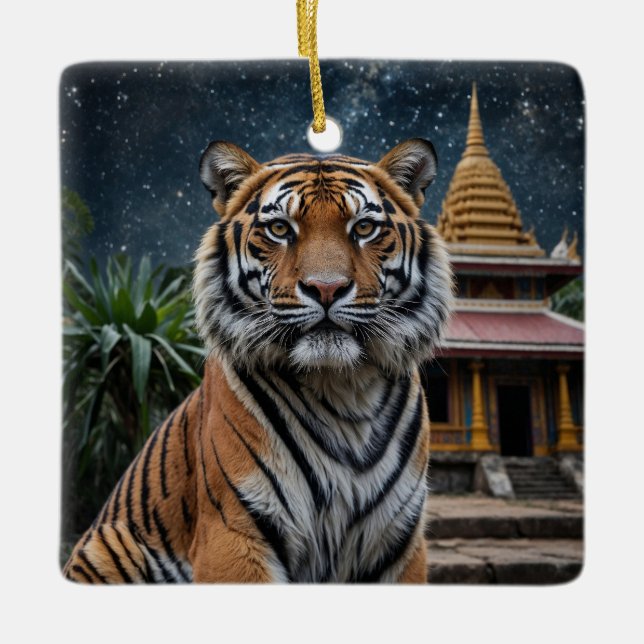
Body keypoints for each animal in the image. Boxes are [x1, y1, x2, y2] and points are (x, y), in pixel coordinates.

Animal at [62, 138, 453, 583]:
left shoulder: (399, 542)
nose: (326, 288)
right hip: (109, 546)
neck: (343, 389)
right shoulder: (234, 532)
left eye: (364, 228)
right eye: (280, 229)